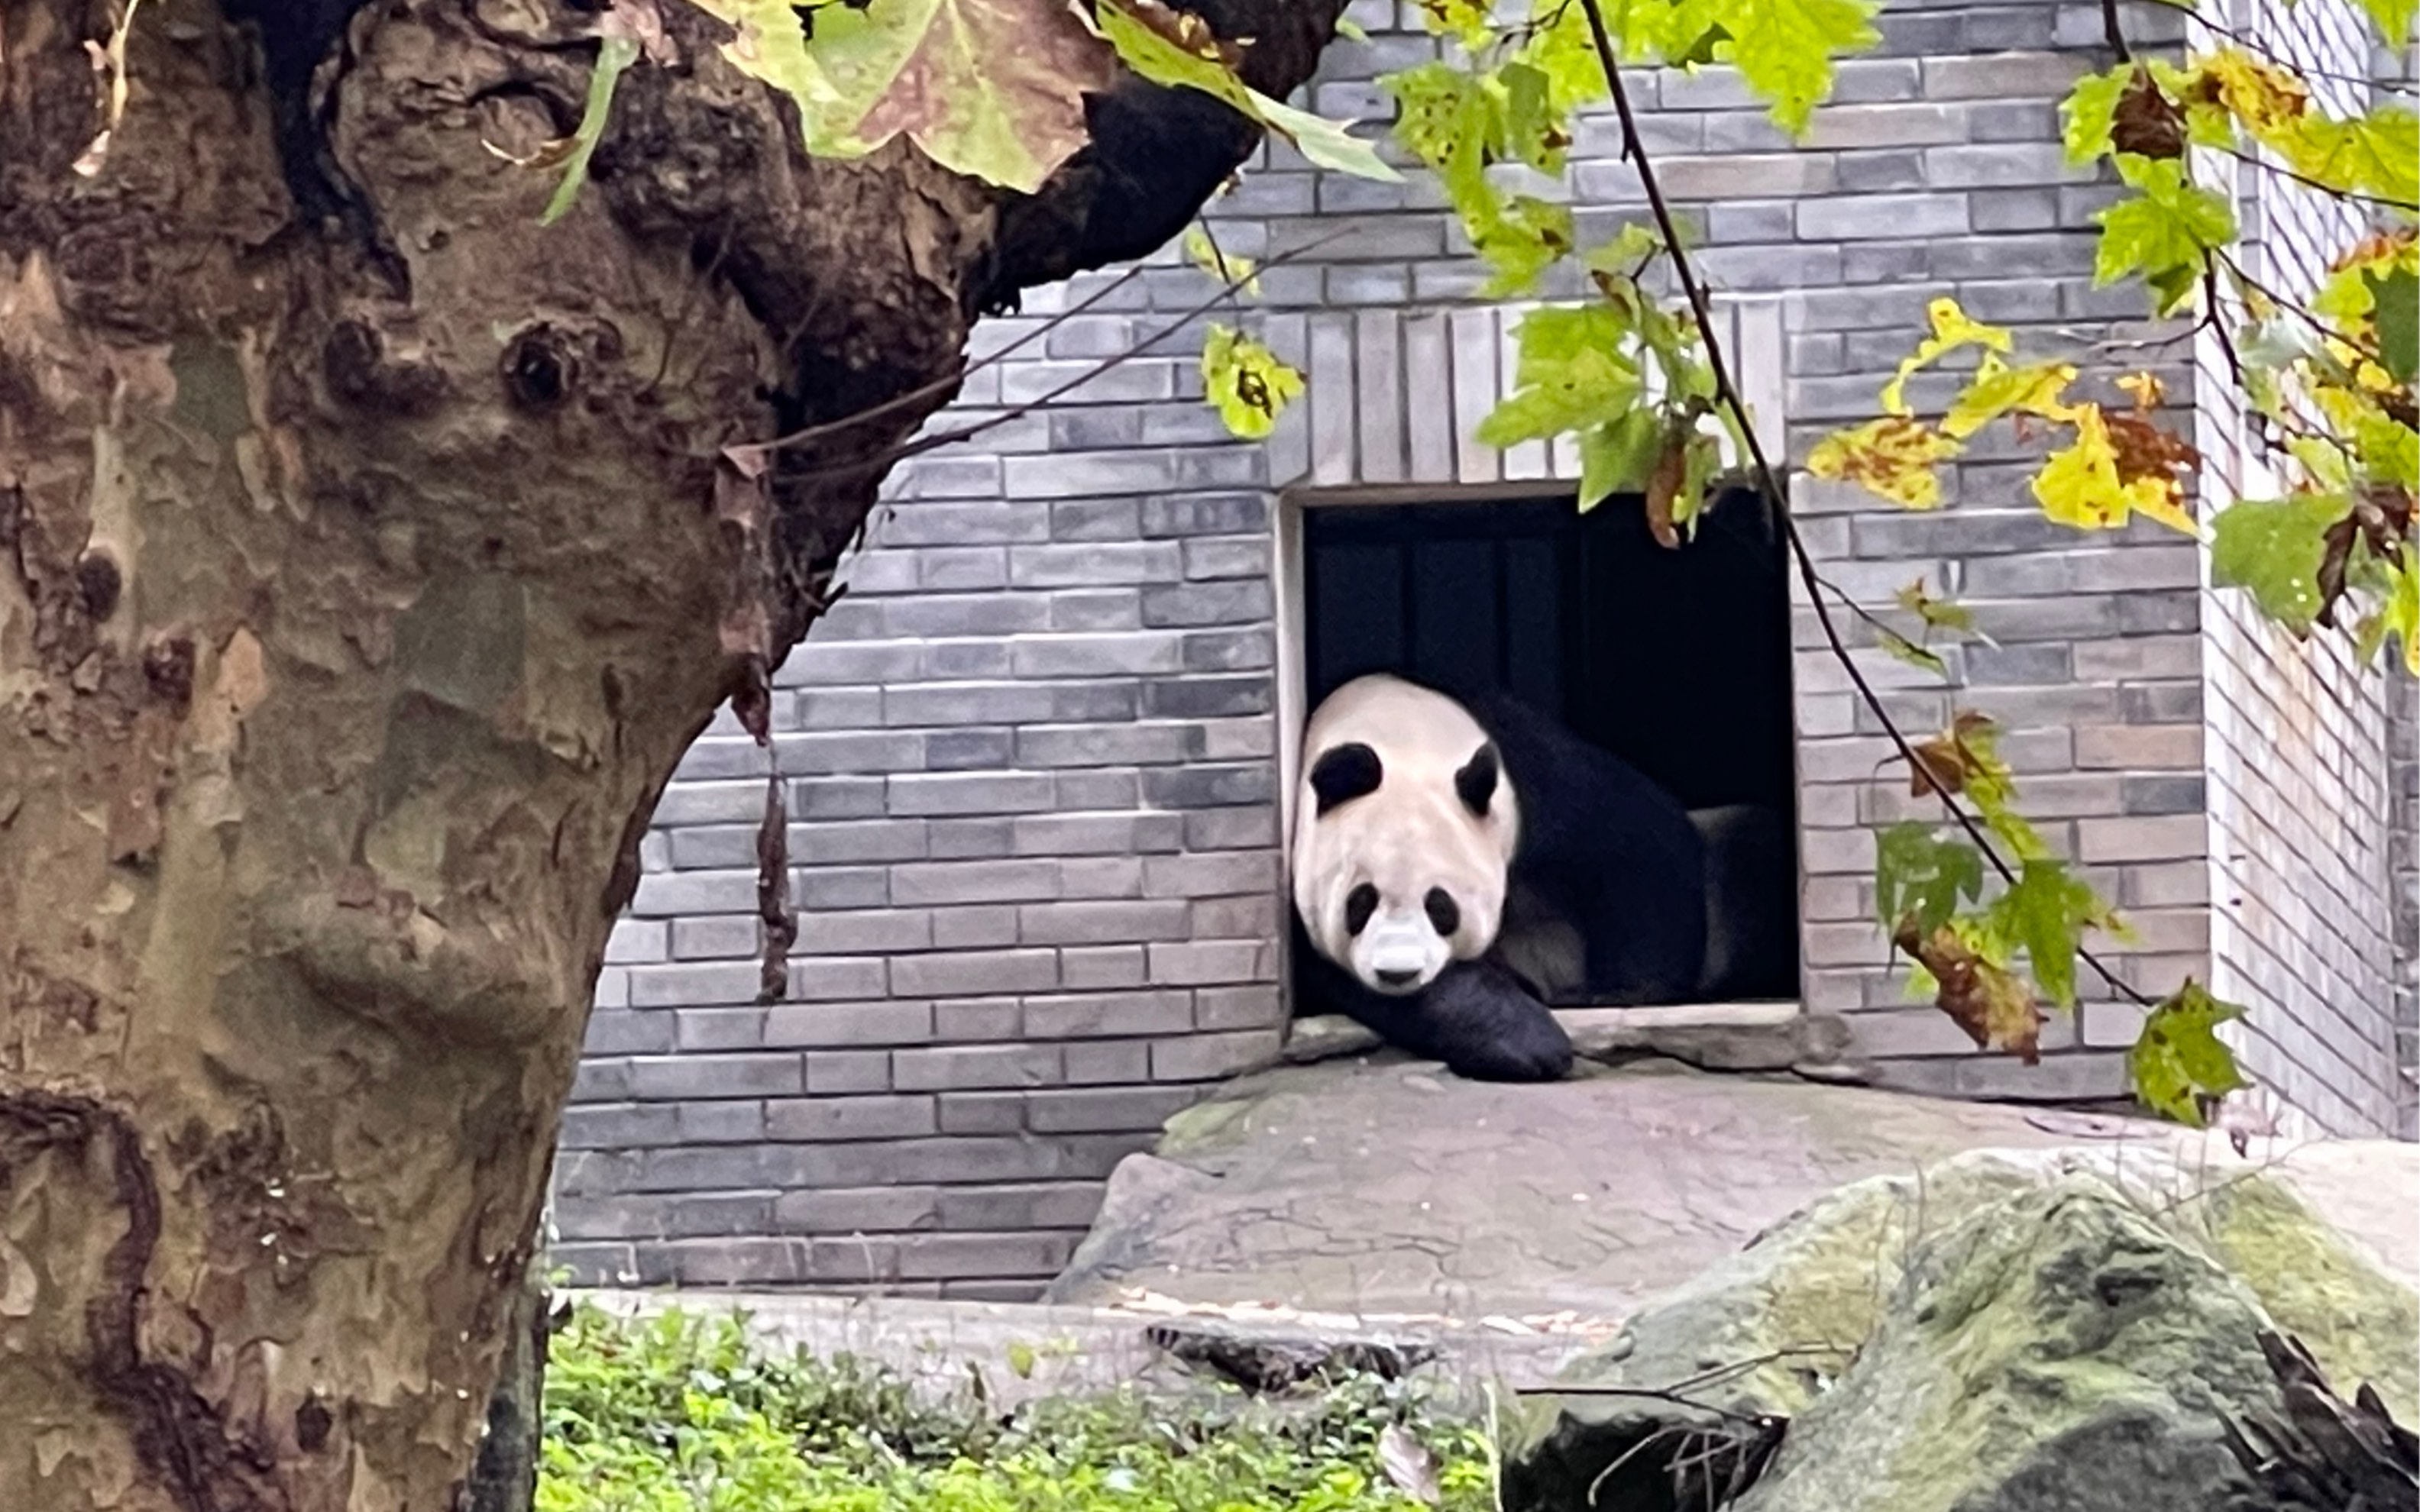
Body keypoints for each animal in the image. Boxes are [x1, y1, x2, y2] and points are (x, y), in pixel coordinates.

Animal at [1297, 667, 1752, 1078]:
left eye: (1441, 907)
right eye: (1358, 904)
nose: (1398, 973)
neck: (1399, 735)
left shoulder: (1532, 781)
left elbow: (1639, 846)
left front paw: (1620, 992)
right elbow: (1342, 978)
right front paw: (1528, 1043)